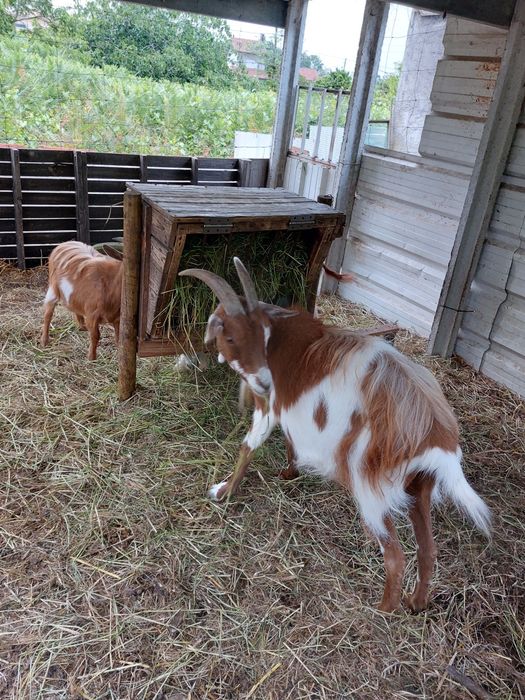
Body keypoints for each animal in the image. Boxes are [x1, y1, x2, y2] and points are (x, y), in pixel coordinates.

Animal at [179, 258, 491, 613]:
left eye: (249, 337)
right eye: (230, 337)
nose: (265, 381)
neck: (278, 336)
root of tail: (438, 437)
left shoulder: (269, 407)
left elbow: (248, 446)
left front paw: (223, 491)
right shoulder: (292, 409)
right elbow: (290, 438)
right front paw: (289, 472)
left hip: (370, 486)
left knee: (395, 556)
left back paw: (383, 611)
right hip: (418, 486)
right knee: (428, 549)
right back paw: (416, 602)